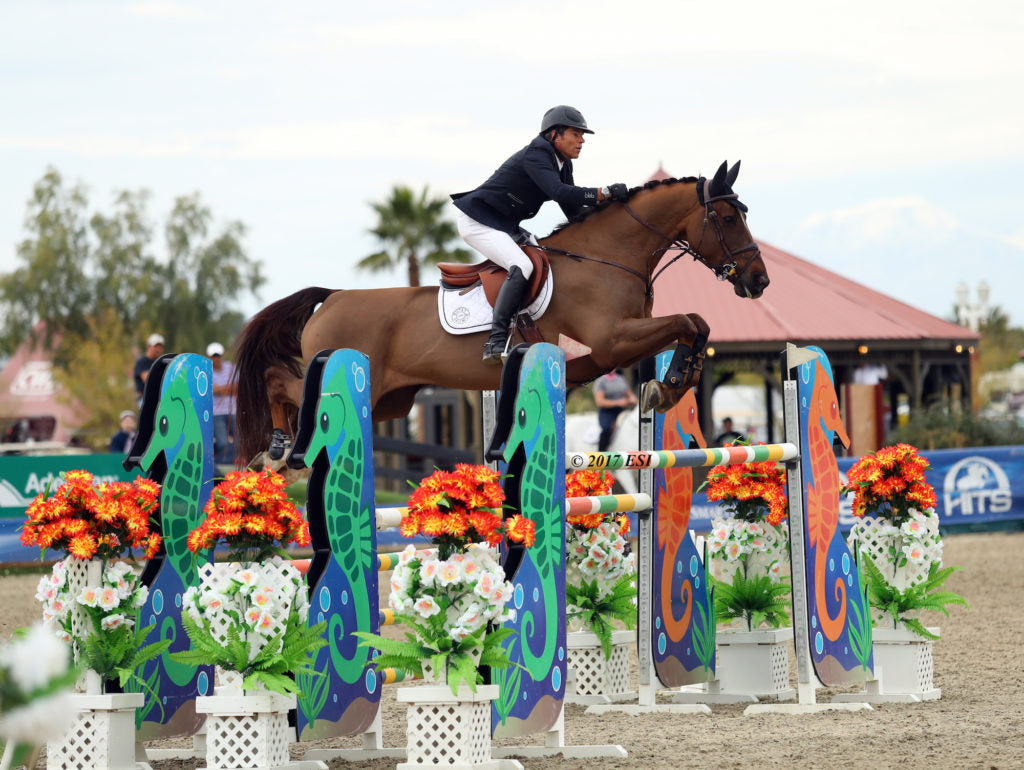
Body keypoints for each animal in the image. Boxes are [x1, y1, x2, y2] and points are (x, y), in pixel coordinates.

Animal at [234, 159, 770, 466]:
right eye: (727, 218)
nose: (758, 281)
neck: (607, 256)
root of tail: (332, 297)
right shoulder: (615, 338)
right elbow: (687, 321)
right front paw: (671, 384)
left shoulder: (604, 352)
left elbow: (695, 325)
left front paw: (671, 382)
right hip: (347, 375)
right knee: (279, 383)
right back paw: (276, 447)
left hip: (390, 400)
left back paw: (279, 448)